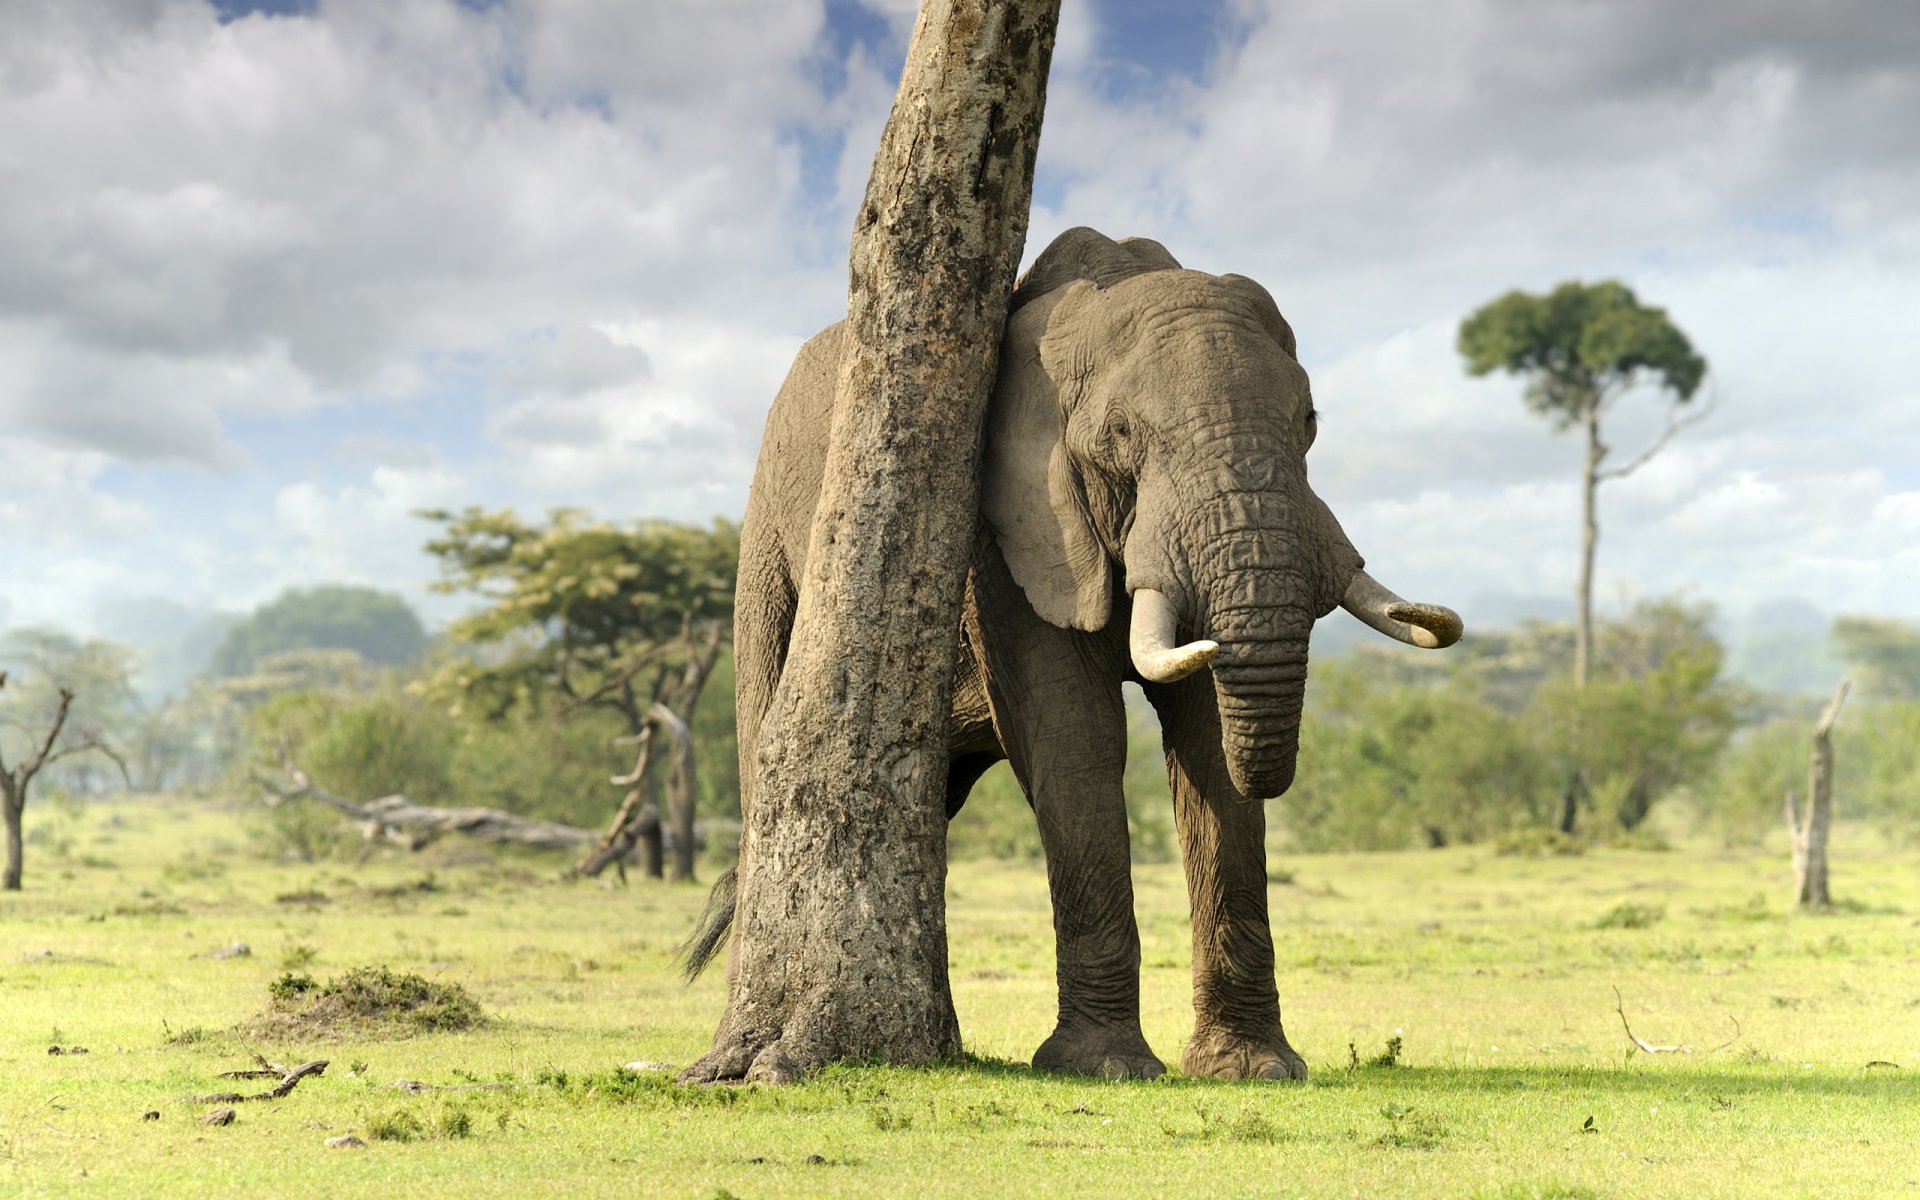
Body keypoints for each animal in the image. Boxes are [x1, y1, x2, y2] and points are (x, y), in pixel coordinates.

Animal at [687, 226, 1461, 1081]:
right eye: (1120, 434)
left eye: (1310, 422)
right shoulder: (1001, 526)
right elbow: (1074, 733)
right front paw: (1104, 1067)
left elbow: (1204, 740)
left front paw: (1252, 1068)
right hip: (766, 542)